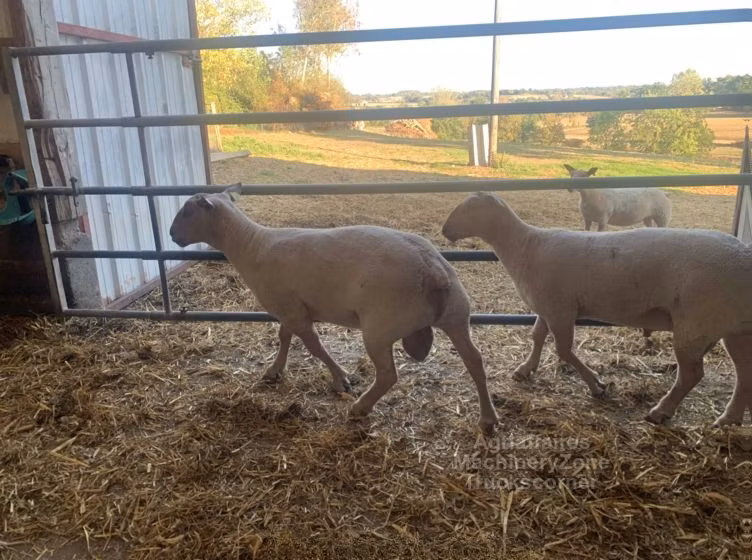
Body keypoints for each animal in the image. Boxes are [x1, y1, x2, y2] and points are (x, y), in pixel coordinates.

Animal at [169, 186, 500, 434]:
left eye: (186, 211)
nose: (172, 235)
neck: (251, 245)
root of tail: (433, 272)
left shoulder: (292, 310)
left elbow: (314, 347)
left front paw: (341, 379)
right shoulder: (292, 307)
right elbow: (284, 337)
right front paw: (274, 371)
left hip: (381, 326)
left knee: (388, 375)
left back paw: (359, 408)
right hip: (457, 313)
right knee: (475, 360)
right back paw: (488, 418)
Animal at [441, 191, 752, 426]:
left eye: (469, 209)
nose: (445, 230)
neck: (525, 246)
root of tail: (744, 257)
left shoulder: (561, 309)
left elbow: (563, 350)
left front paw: (596, 385)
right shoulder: (548, 307)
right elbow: (537, 337)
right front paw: (525, 369)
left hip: (697, 323)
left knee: (692, 374)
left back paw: (661, 411)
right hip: (734, 327)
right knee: (743, 372)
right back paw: (729, 418)